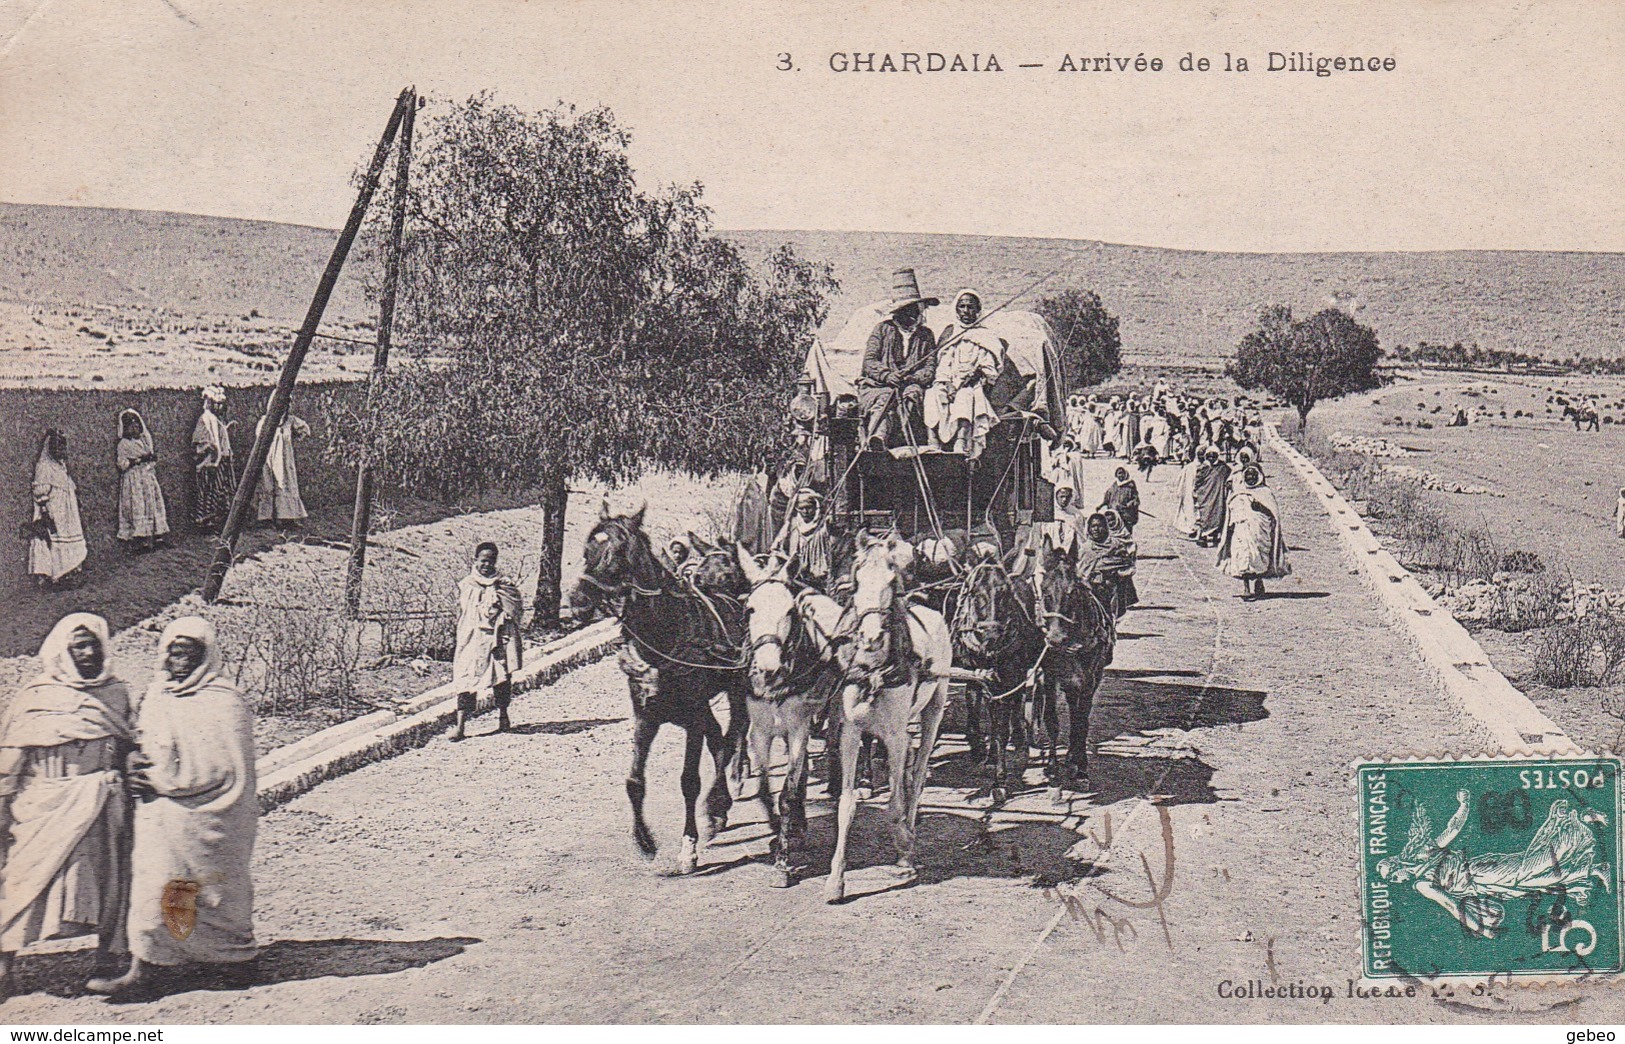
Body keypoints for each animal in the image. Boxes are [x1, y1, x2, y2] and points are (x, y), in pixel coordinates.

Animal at [572, 504, 747, 871]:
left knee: (733, 736)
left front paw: (688, 846)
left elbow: (689, 781)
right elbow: (634, 782)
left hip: (738, 691)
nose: (577, 600)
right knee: (719, 741)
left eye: (617, 553)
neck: (663, 633)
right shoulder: (645, 715)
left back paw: (719, 801)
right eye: (587, 548)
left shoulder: (693, 717)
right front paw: (644, 840)